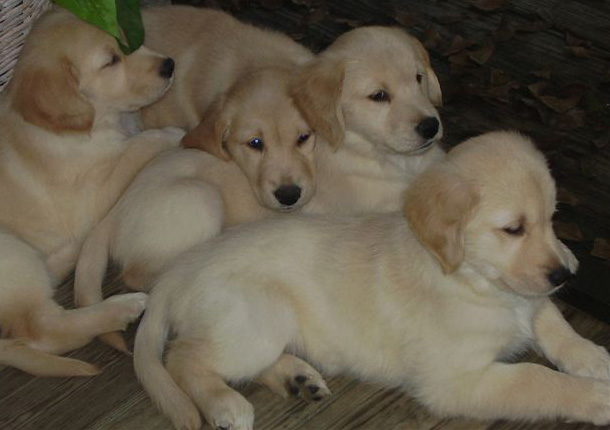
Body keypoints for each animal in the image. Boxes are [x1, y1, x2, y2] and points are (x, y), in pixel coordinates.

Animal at [0, 7, 183, 376]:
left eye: (127, 39)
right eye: (111, 61)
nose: (169, 64)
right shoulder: (93, 191)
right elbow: (138, 146)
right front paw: (174, 133)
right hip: (11, 252)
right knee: (44, 330)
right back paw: (121, 307)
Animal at [133, 131, 608, 430]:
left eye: (552, 219)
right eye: (513, 229)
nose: (564, 274)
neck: (470, 279)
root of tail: (176, 271)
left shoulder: (528, 297)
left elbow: (551, 320)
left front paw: (592, 356)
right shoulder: (457, 380)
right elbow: (536, 378)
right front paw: (597, 398)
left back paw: (296, 379)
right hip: (260, 315)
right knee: (183, 357)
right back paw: (225, 404)